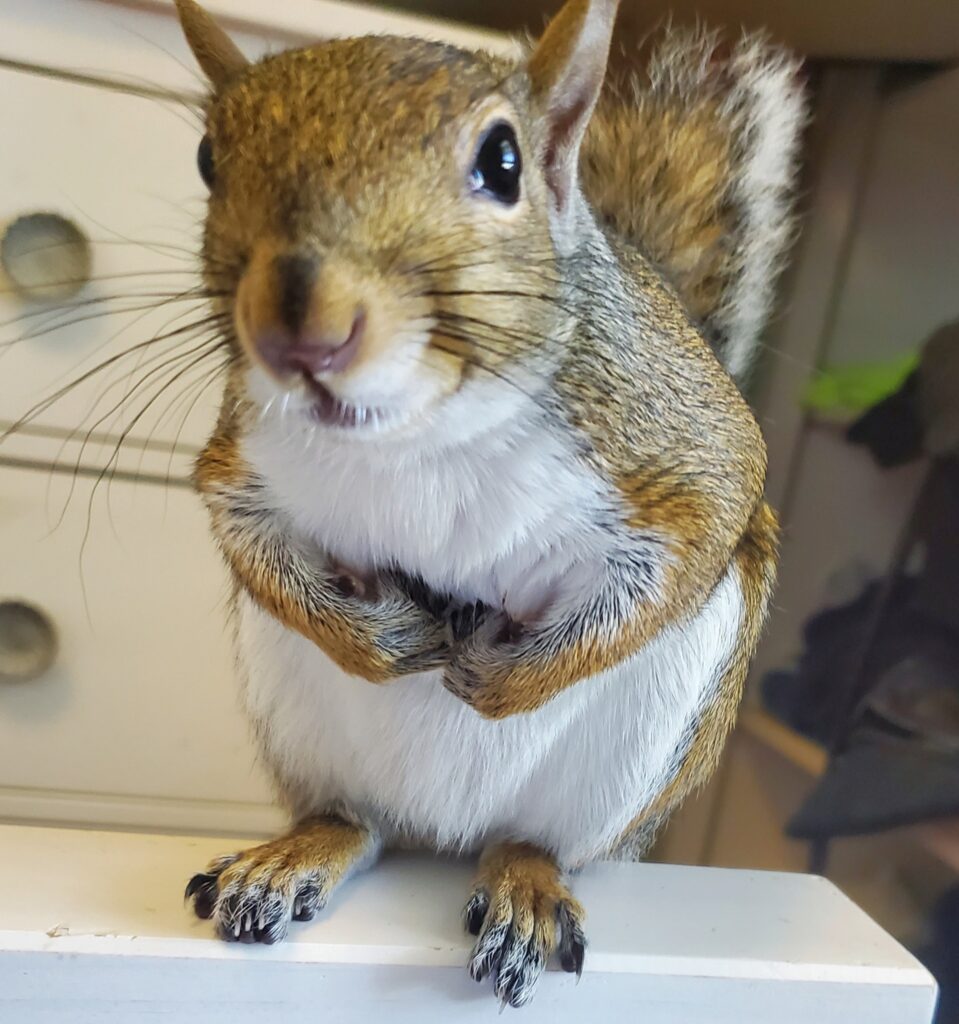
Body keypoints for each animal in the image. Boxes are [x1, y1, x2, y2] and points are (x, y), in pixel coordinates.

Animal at [175, 0, 802, 1007]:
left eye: (502, 163)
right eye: (206, 158)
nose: (301, 329)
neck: (413, 426)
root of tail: (443, 828)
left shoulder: (690, 453)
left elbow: (699, 537)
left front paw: (506, 680)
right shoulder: (241, 460)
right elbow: (248, 542)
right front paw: (379, 642)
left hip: (634, 761)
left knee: (533, 841)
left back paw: (525, 884)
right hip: (302, 729)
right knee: (356, 819)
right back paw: (297, 853)